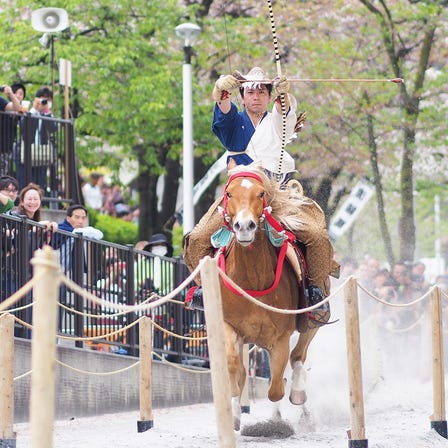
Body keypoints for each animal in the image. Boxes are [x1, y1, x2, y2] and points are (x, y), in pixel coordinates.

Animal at [213, 165, 318, 430]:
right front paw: (234, 415)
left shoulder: (280, 337)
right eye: (229, 193)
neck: (252, 280)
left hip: (311, 318)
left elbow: (276, 387)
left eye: (261, 194)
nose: (244, 226)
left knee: (298, 356)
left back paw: (299, 395)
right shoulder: (229, 326)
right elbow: (235, 367)